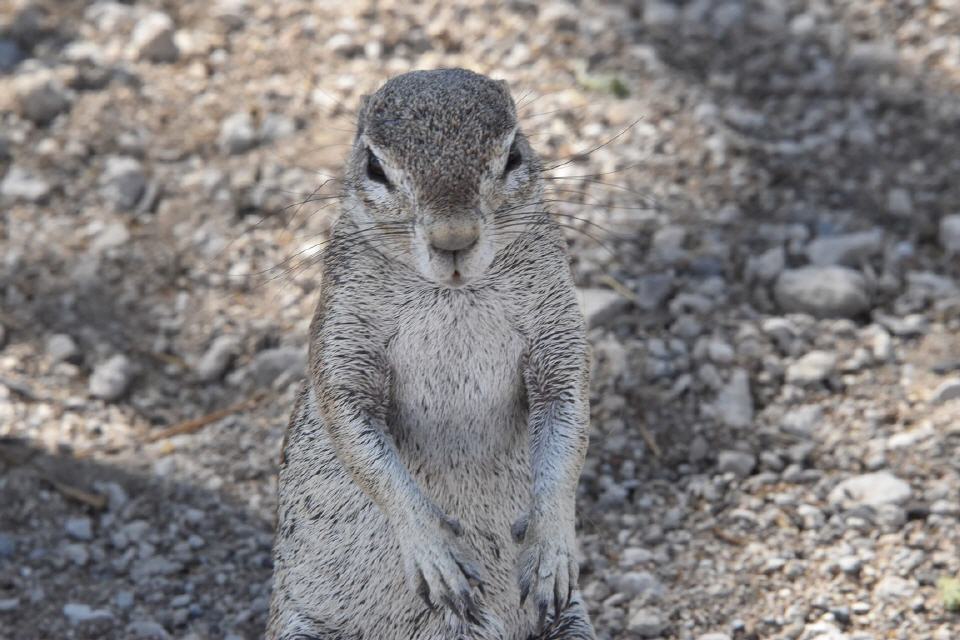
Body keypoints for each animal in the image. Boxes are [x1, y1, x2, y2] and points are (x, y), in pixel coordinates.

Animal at [268, 70, 592, 640]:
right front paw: (432, 550)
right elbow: (355, 434)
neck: (453, 295)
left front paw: (552, 549)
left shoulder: (556, 329)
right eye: (374, 166)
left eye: (513, 153)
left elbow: (568, 421)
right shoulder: (344, 337)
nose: (454, 238)